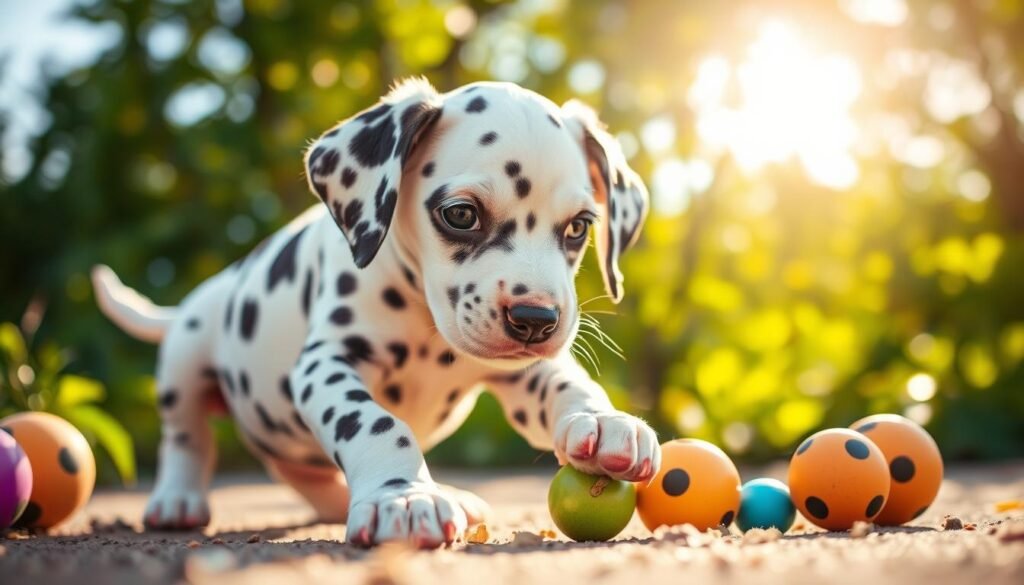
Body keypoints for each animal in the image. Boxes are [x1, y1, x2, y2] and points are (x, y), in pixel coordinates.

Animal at [94, 77, 655, 549]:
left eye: (579, 227)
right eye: (461, 214)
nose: (536, 320)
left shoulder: (525, 372)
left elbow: (569, 384)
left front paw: (603, 422)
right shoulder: (326, 365)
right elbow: (374, 423)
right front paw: (402, 496)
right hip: (185, 360)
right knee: (187, 437)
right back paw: (178, 499)